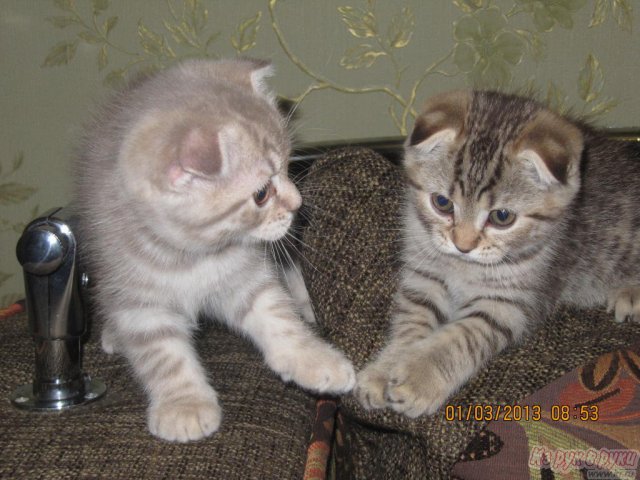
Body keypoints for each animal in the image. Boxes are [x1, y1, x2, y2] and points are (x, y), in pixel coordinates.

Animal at [76, 59, 356, 442]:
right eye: (261, 194)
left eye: (288, 165)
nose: (298, 204)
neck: (193, 256)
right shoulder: (137, 295)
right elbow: (161, 352)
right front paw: (184, 405)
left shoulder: (246, 276)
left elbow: (276, 314)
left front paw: (311, 358)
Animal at [358, 89, 636, 416]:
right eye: (442, 202)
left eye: (502, 217)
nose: (463, 244)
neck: (464, 267)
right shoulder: (424, 274)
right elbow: (411, 319)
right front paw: (386, 367)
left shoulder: (509, 302)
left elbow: (462, 336)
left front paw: (419, 376)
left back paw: (630, 293)